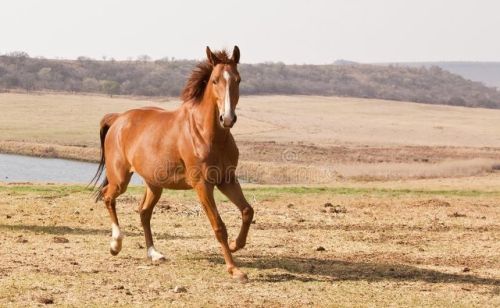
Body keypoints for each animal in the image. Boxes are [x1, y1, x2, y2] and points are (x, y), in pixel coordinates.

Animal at [90, 46, 254, 282]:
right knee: (108, 197)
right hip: (120, 179)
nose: (228, 118)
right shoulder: (202, 185)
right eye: (215, 80)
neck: (206, 134)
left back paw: (154, 254)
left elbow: (247, 211)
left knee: (144, 212)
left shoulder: (227, 180)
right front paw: (234, 269)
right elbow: (219, 226)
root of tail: (118, 119)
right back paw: (115, 245)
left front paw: (235, 245)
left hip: (154, 184)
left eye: (238, 80)